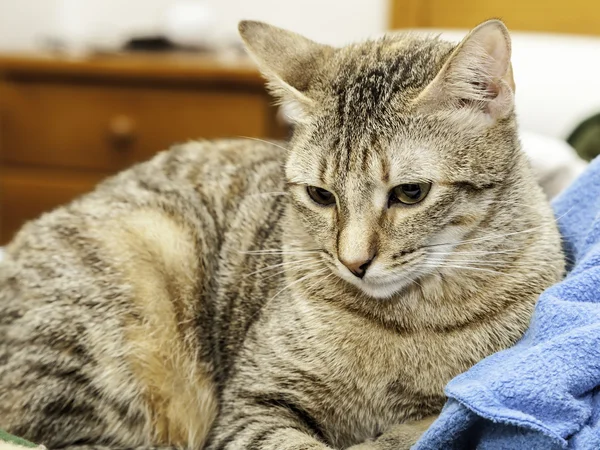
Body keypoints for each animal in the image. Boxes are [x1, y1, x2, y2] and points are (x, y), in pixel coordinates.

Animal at [0, 19, 564, 448]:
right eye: (320, 195)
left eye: (410, 193)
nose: (354, 262)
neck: (407, 320)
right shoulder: (255, 402)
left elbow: (425, 425)